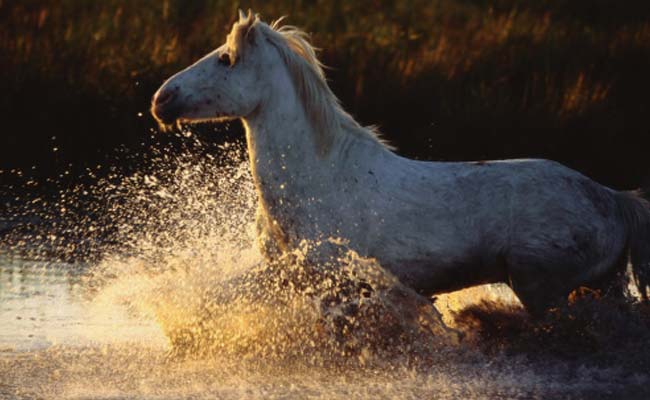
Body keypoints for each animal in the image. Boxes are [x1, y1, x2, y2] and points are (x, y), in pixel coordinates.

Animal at [151, 10, 650, 316]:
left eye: (226, 59)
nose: (161, 99)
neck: (322, 179)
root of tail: (613, 197)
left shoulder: (335, 285)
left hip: (542, 288)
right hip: (594, 288)